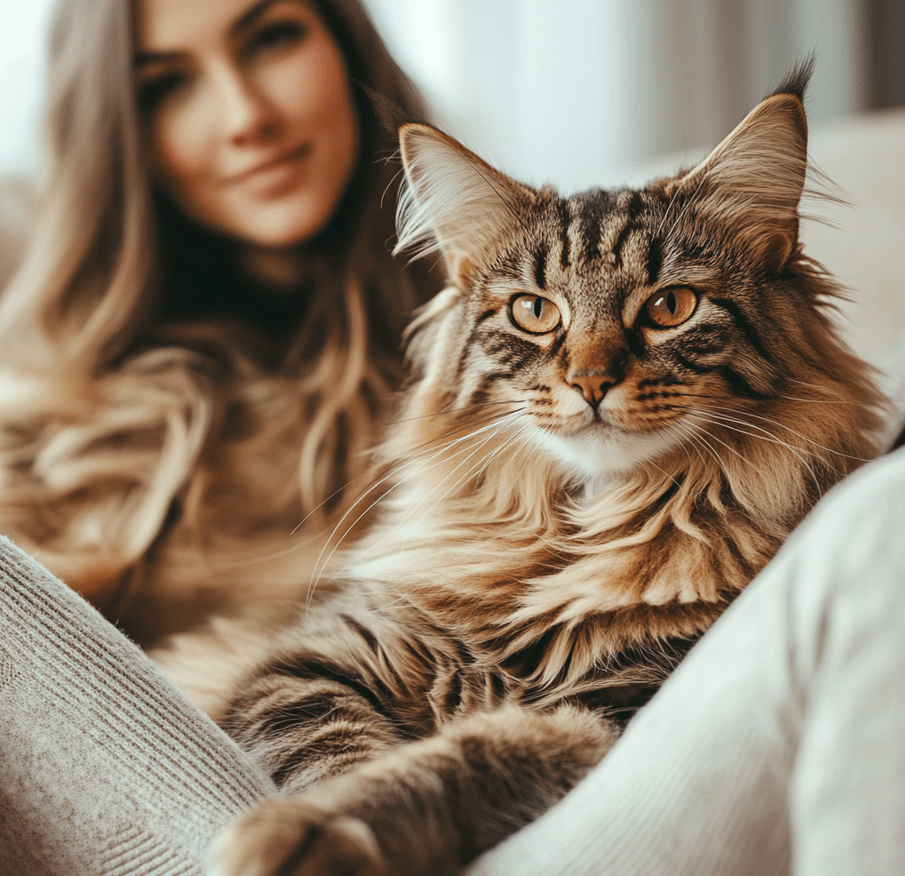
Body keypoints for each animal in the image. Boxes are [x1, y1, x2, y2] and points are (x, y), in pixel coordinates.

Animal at [170, 65, 884, 876]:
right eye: (534, 312)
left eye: (670, 306)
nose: (590, 381)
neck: (575, 536)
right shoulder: (311, 663)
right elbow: (333, 752)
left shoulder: (618, 716)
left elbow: (470, 757)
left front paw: (308, 831)